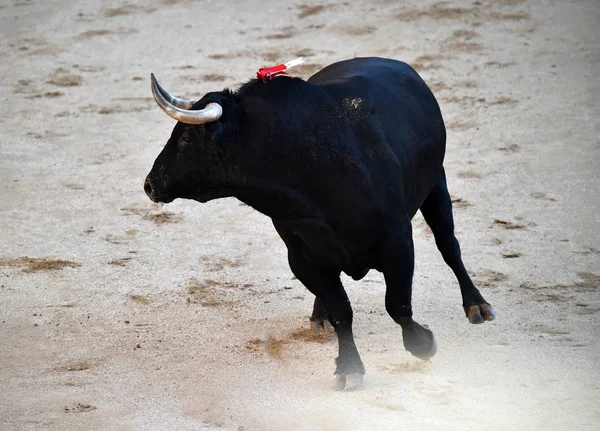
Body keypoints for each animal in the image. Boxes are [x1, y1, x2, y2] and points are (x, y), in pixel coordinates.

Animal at [143, 57, 494, 392]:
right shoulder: (301, 257)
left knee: (448, 245)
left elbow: (398, 304)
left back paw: (477, 306)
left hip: (437, 183)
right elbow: (342, 311)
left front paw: (423, 344)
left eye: (187, 138)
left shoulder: (398, 242)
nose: (149, 184)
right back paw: (318, 315)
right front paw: (349, 368)